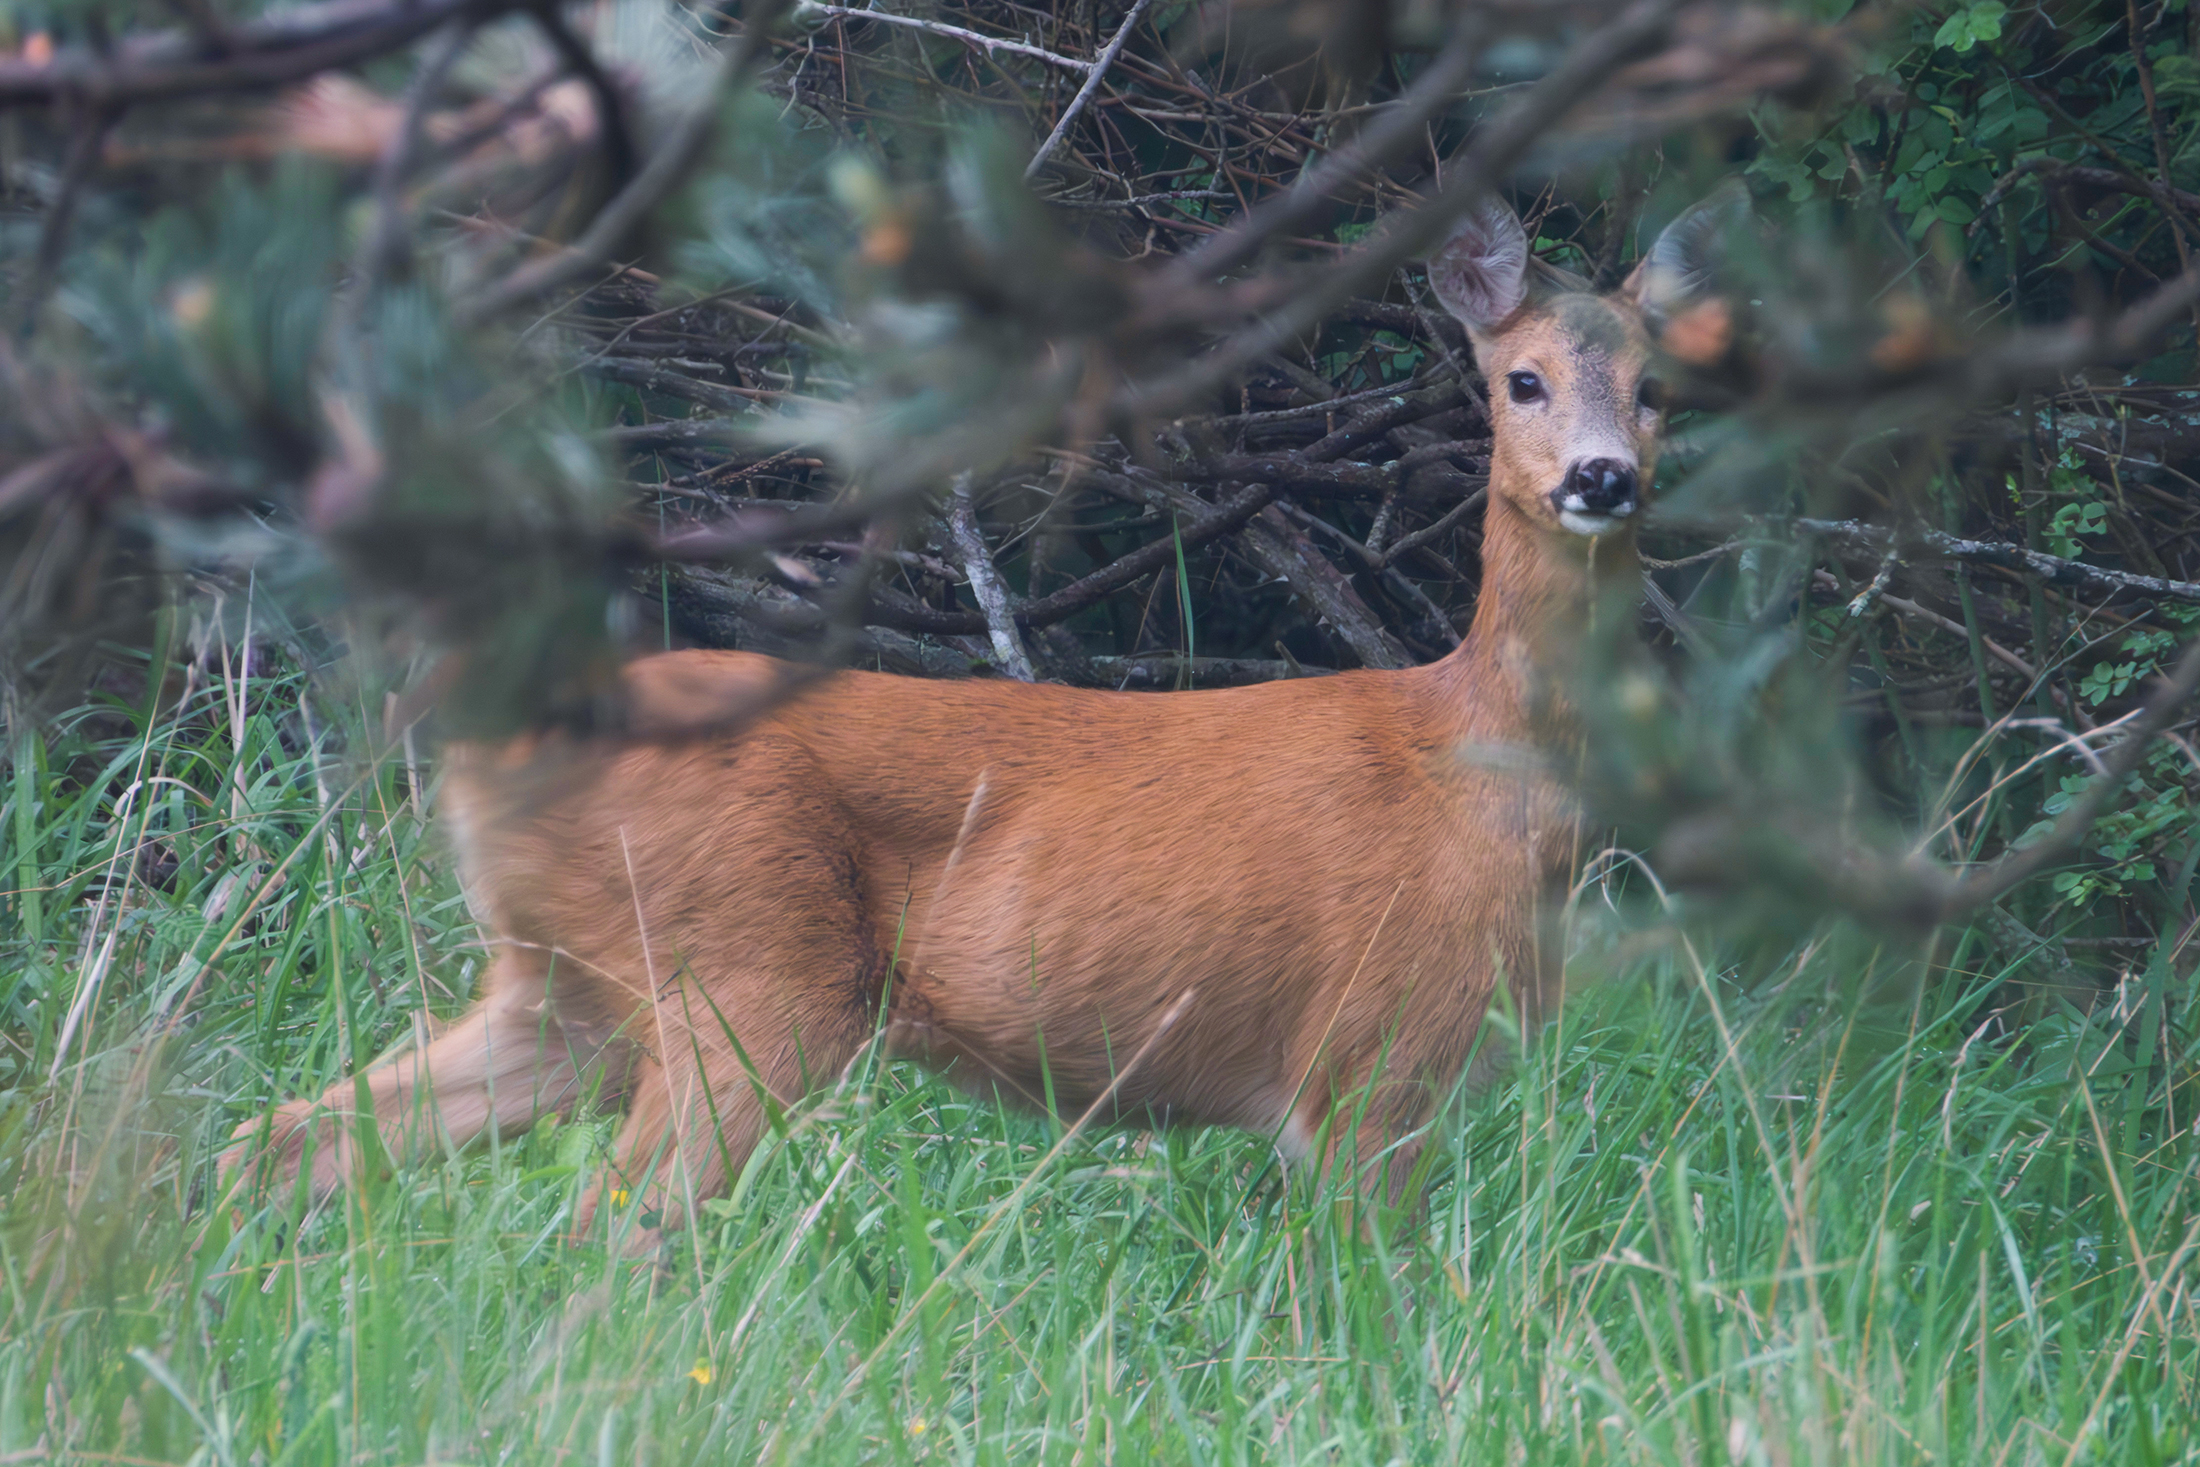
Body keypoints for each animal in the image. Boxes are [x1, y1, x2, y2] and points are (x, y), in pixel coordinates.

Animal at [221, 191, 1731, 1240]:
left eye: (1659, 391)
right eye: (1522, 380)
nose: (1601, 477)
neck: (1475, 763)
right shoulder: (1370, 1054)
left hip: (563, 987)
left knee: (292, 1136)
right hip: (748, 976)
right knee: (615, 1225)